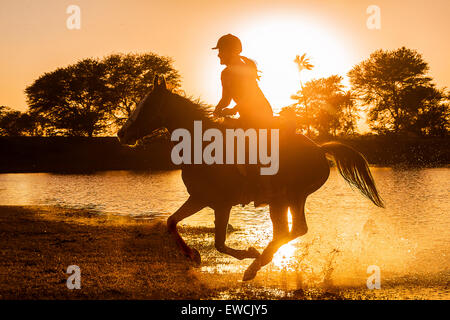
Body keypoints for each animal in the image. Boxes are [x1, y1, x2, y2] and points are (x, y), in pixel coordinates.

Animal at [117, 75, 384, 280]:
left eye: (146, 106)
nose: (121, 134)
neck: (201, 144)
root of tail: (320, 148)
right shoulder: (199, 198)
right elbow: (171, 222)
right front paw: (193, 255)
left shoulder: (221, 204)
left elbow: (219, 243)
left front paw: (248, 254)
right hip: (282, 200)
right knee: (287, 232)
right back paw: (261, 262)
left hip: (290, 196)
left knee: (293, 230)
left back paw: (254, 266)